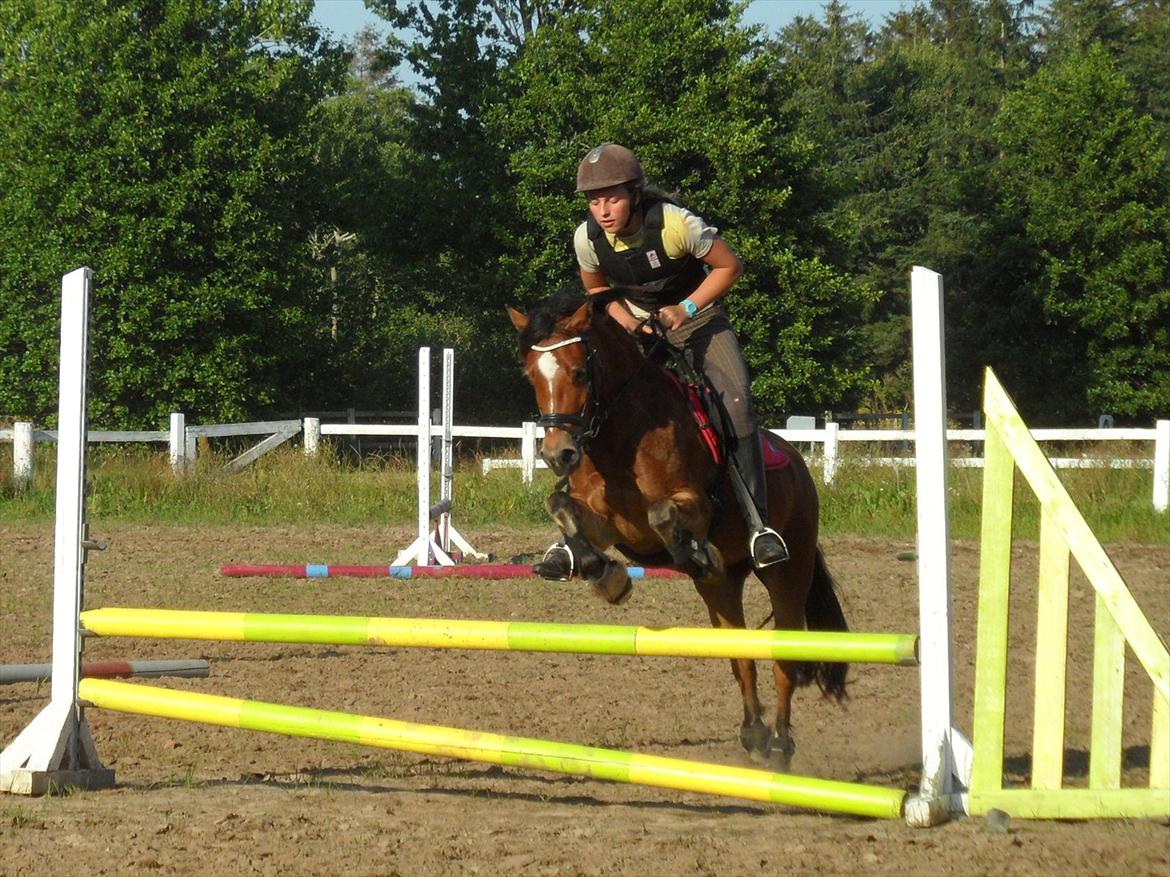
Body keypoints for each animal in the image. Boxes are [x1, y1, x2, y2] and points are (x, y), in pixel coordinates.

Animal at [507, 287, 848, 769]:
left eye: (580, 372)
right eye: (532, 377)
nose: (559, 455)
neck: (621, 436)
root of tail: (799, 464)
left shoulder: (695, 506)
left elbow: (662, 514)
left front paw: (695, 553)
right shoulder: (606, 523)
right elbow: (560, 506)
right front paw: (607, 578)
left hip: (789, 571)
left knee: (785, 657)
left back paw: (781, 746)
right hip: (723, 590)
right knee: (739, 653)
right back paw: (754, 735)